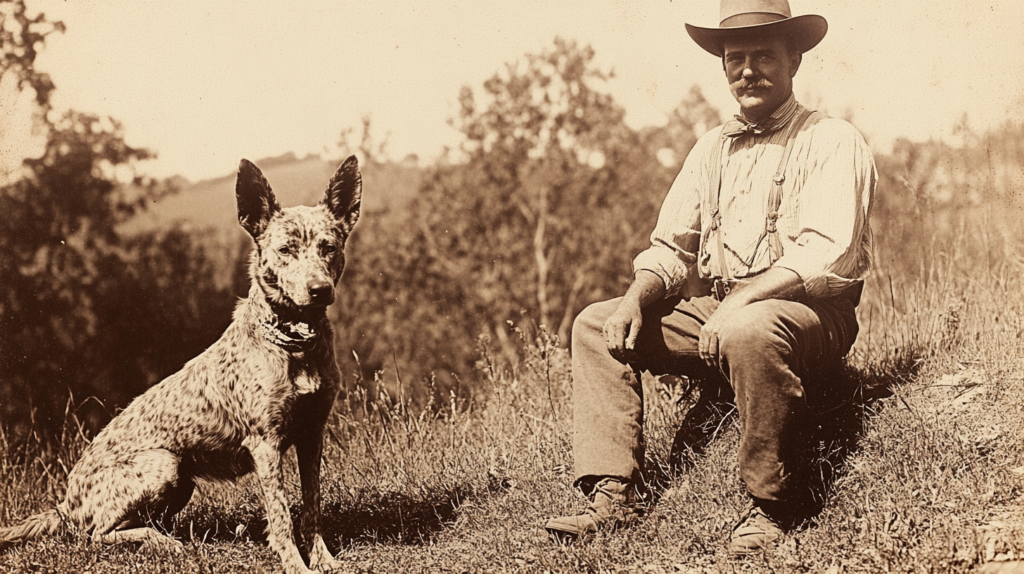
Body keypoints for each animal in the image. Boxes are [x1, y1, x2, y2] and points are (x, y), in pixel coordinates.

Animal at [0, 156, 366, 572]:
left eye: (328, 247)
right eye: (285, 249)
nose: (320, 290)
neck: (294, 345)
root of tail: (64, 505)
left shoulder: (312, 434)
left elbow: (311, 504)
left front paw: (325, 559)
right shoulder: (265, 444)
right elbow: (281, 515)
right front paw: (295, 564)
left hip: (181, 481)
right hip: (164, 464)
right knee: (94, 534)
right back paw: (164, 543)